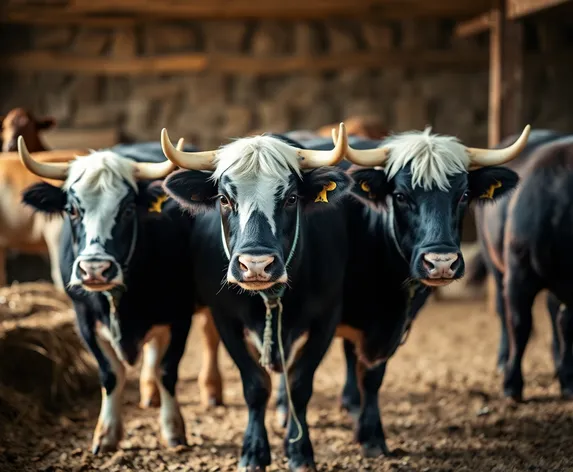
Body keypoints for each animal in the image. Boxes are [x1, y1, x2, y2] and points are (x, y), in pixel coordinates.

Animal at [159, 125, 350, 472]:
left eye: (291, 198)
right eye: (224, 198)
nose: (257, 264)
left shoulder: (327, 316)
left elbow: (299, 385)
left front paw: (300, 451)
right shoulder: (225, 318)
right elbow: (255, 385)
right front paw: (254, 451)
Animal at [470, 131, 572, 400]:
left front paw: (567, 379)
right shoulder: (518, 273)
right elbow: (519, 323)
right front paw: (512, 384)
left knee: (552, 311)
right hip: (493, 260)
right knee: (502, 309)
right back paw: (503, 360)